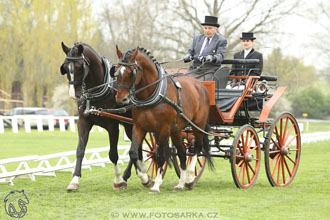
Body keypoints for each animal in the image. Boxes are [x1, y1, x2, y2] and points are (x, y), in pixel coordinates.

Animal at [60, 42, 137, 190]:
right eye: (65, 67)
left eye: (80, 67)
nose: (74, 95)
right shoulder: (83, 122)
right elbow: (80, 150)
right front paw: (74, 180)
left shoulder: (113, 126)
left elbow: (113, 154)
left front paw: (118, 180)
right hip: (128, 124)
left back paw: (128, 175)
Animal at [113, 46, 211, 192]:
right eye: (116, 71)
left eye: (131, 73)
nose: (121, 99)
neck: (152, 94)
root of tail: (200, 85)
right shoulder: (139, 127)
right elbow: (133, 153)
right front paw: (144, 178)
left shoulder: (164, 128)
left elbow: (160, 157)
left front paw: (156, 185)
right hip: (176, 130)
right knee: (182, 152)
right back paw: (180, 184)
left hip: (197, 124)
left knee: (197, 148)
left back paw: (189, 179)